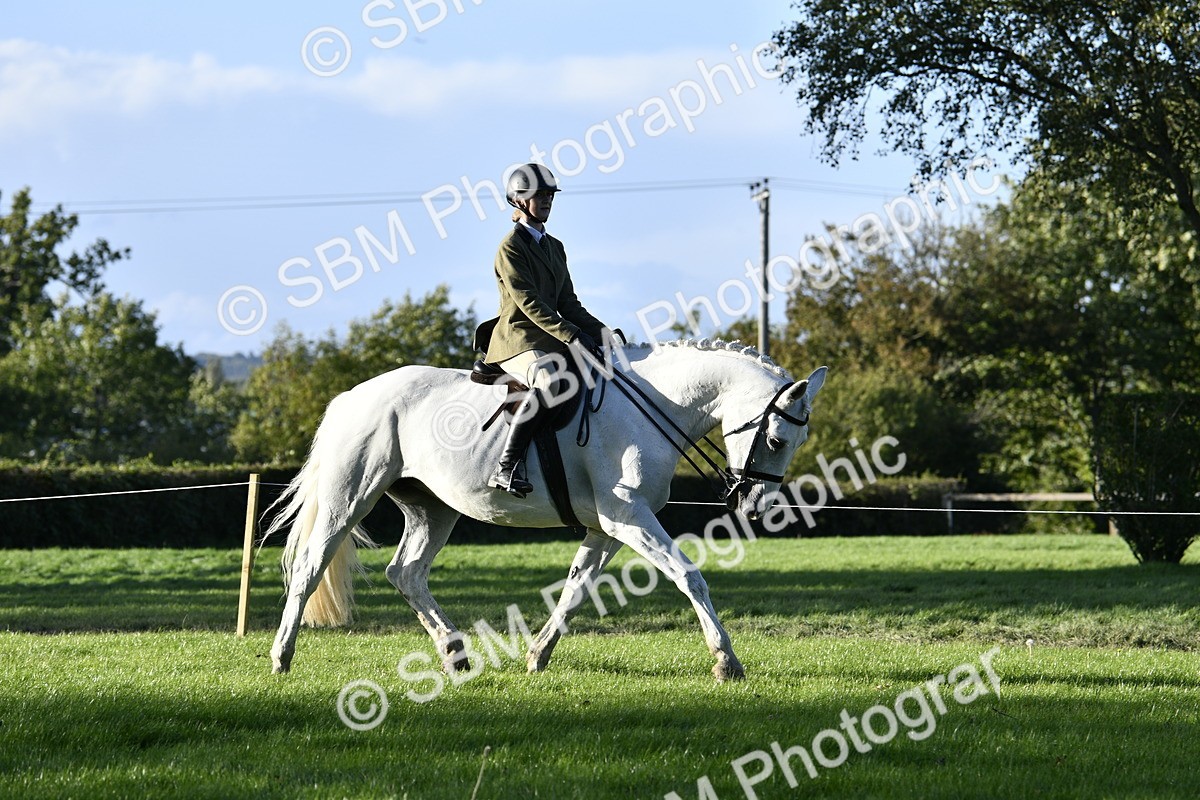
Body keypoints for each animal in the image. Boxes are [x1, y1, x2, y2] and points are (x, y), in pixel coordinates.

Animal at [267, 339, 826, 682]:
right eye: (776, 440)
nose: (756, 506)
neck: (649, 407)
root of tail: (352, 395)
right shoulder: (629, 518)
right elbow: (689, 576)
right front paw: (726, 661)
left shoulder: (608, 528)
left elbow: (576, 589)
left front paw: (537, 656)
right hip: (349, 497)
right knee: (310, 568)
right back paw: (281, 657)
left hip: (433, 509)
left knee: (406, 572)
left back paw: (455, 654)